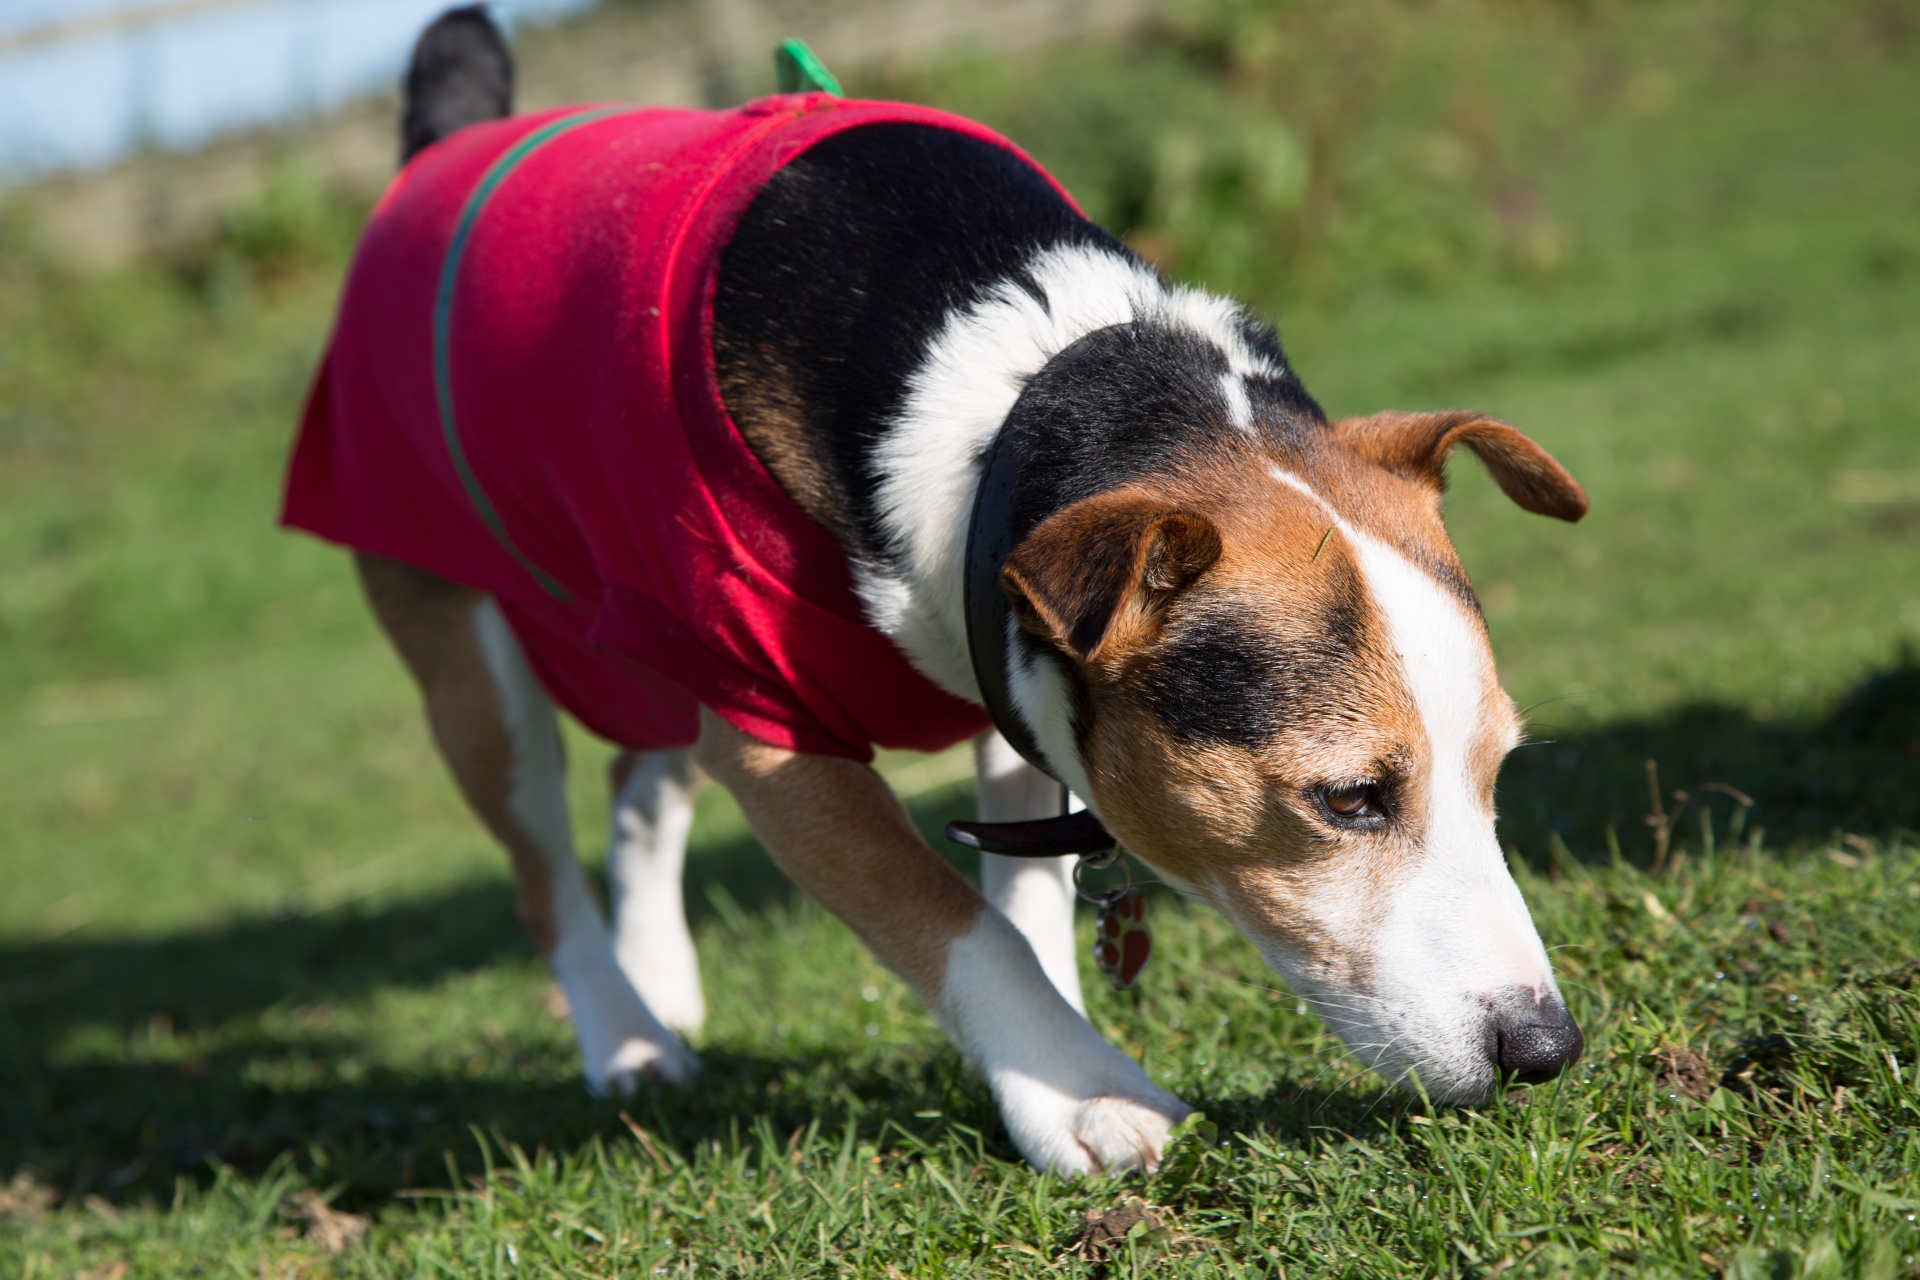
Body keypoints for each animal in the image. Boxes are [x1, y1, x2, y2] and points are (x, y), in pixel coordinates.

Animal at [280, 7, 1589, 1182]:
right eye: (1350, 798)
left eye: (1497, 773)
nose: (1544, 1047)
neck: (1018, 377)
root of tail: (447, 138)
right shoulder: (775, 740)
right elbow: (960, 926)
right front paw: (1090, 1094)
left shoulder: (1005, 671)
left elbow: (1026, 903)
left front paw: (1049, 1067)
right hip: (478, 655)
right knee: (541, 862)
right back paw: (628, 1033)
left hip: (639, 615)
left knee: (637, 782)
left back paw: (663, 983)